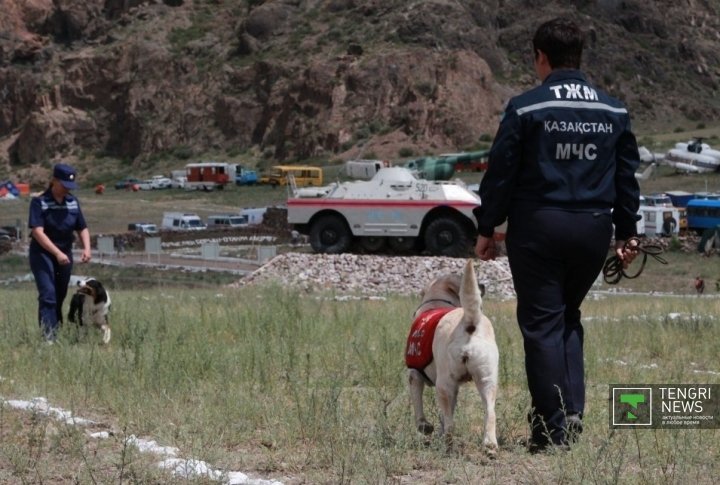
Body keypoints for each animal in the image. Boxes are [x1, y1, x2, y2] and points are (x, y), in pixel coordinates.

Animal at [404, 260, 500, 452]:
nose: (483, 285)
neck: (436, 300)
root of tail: (469, 322)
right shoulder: (455, 388)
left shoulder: (414, 375)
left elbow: (418, 407)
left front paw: (424, 426)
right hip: (487, 380)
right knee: (490, 413)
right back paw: (490, 445)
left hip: (444, 384)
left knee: (450, 424)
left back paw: (447, 445)